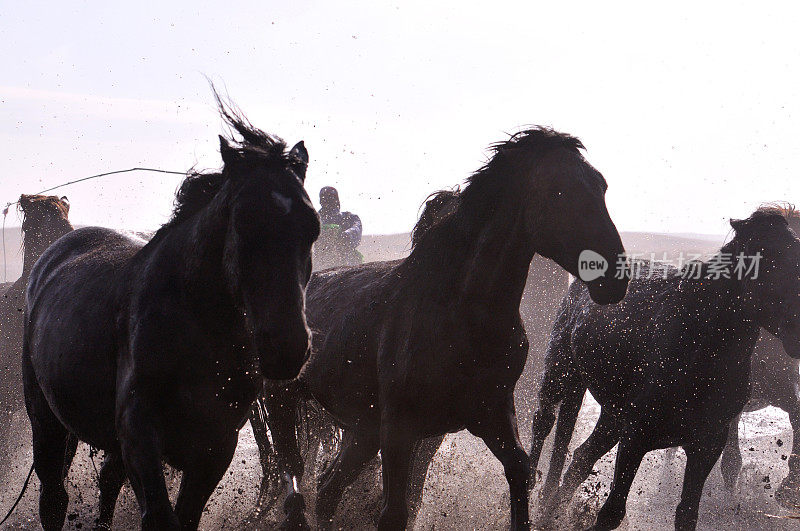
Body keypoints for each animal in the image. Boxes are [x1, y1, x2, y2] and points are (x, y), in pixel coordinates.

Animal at [20, 101, 318, 531]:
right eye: (243, 221)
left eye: (311, 227)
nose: (286, 347)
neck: (195, 327)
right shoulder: (139, 432)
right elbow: (159, 515)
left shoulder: (216, 444)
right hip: (45, 418)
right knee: (54, 496)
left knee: (108, 482)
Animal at [266, 127, 628, 528]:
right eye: (558, 192)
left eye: (601, 186)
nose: (615, 277)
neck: (462, 314)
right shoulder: (400, 429)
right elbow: (394, 512)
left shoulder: (492, 412)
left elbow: (519, 472)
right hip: (283, 402)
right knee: (294, 474)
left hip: (363, 429)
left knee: (329, 489)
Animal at [528, 208, 800, 531]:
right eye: (768, 258)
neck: (698, 347)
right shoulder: (636, 436)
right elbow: (612, 511)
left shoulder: (707, 444)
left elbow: (687, 514)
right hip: (561, 369)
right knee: (544, 421)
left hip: (612, 415)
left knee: (581, 455)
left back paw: (550, 512)